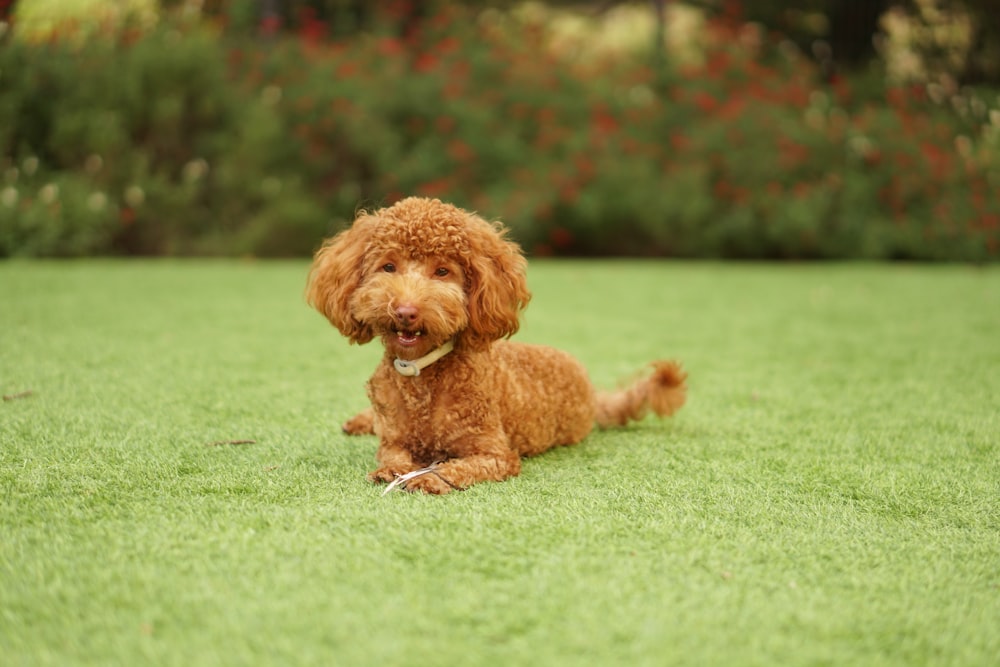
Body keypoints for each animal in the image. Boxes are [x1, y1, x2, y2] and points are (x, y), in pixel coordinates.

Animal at [306, 196, 688, 494]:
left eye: (442, 272)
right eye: (388, 266)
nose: (405, 312)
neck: (423, 375)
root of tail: (591, 391)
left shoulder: (495, 454)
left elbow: (456, 467)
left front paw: (430, 478)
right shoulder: (394, 439)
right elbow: (392, 455)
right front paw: (393, 470)